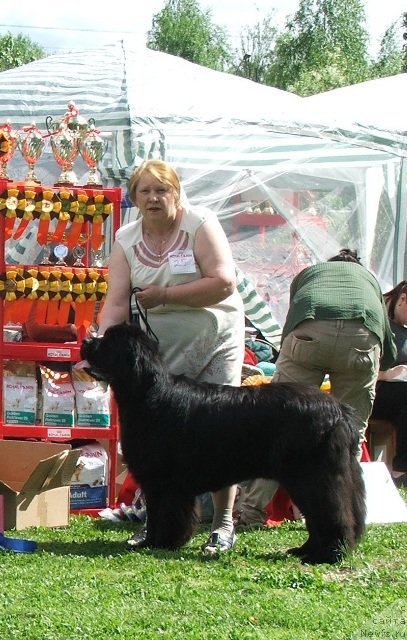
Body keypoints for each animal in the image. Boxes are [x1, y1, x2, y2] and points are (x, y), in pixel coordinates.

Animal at [80, 322, 366, 564]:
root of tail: (340, 411)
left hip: (311, 476)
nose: (85, 341)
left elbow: (165, 514)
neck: (147, 394)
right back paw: (306, 550)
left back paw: (325, 555)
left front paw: (159, 542)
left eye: (108, 342)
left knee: (332, 513)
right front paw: (157, 541)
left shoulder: (166, 482)